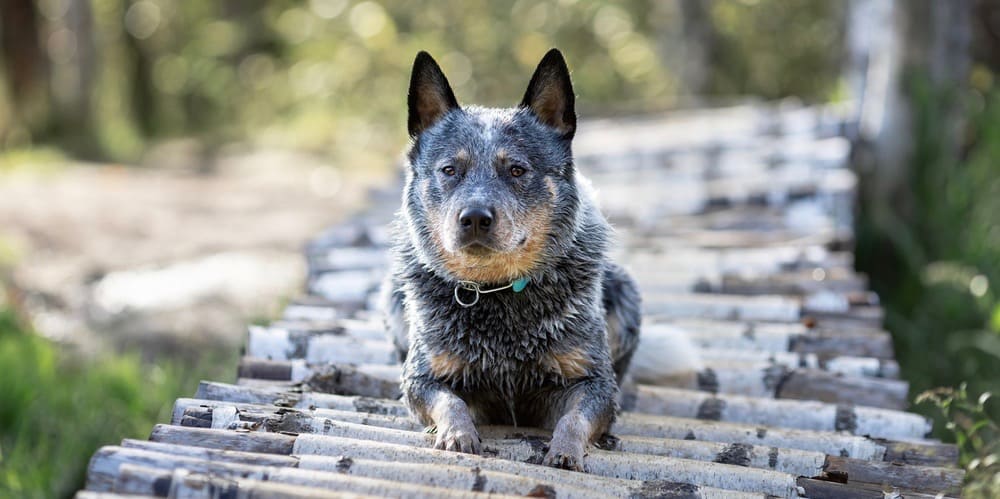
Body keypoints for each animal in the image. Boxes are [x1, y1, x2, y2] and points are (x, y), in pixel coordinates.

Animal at [378, 48, 644, 470]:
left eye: (517, 170)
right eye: (450, 169)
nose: (474, 217)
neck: (496, 290)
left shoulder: (591, 381)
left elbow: (576, 417)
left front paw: (566, 450)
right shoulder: (423, 378)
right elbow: (449, 402)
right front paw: (458, 434)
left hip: (625, 289)